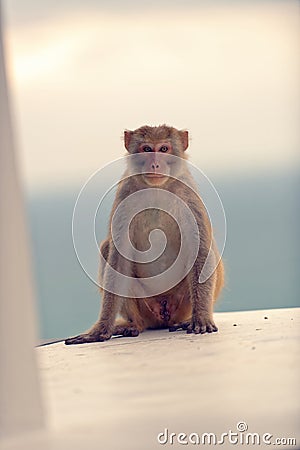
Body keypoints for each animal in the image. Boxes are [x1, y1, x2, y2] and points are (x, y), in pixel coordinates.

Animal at [66, 125, 225, 342]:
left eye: (164, 149)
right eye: (147, 149)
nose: (155, 164)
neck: (157, 188)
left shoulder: (188, 194)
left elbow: (200, 249)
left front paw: (201, 318)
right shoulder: (125, 193)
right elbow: (118, 257)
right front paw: (100, 329)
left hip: (181, 304)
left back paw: (186, 320)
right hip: (145, 306)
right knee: (107, 249)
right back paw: (134, 325)